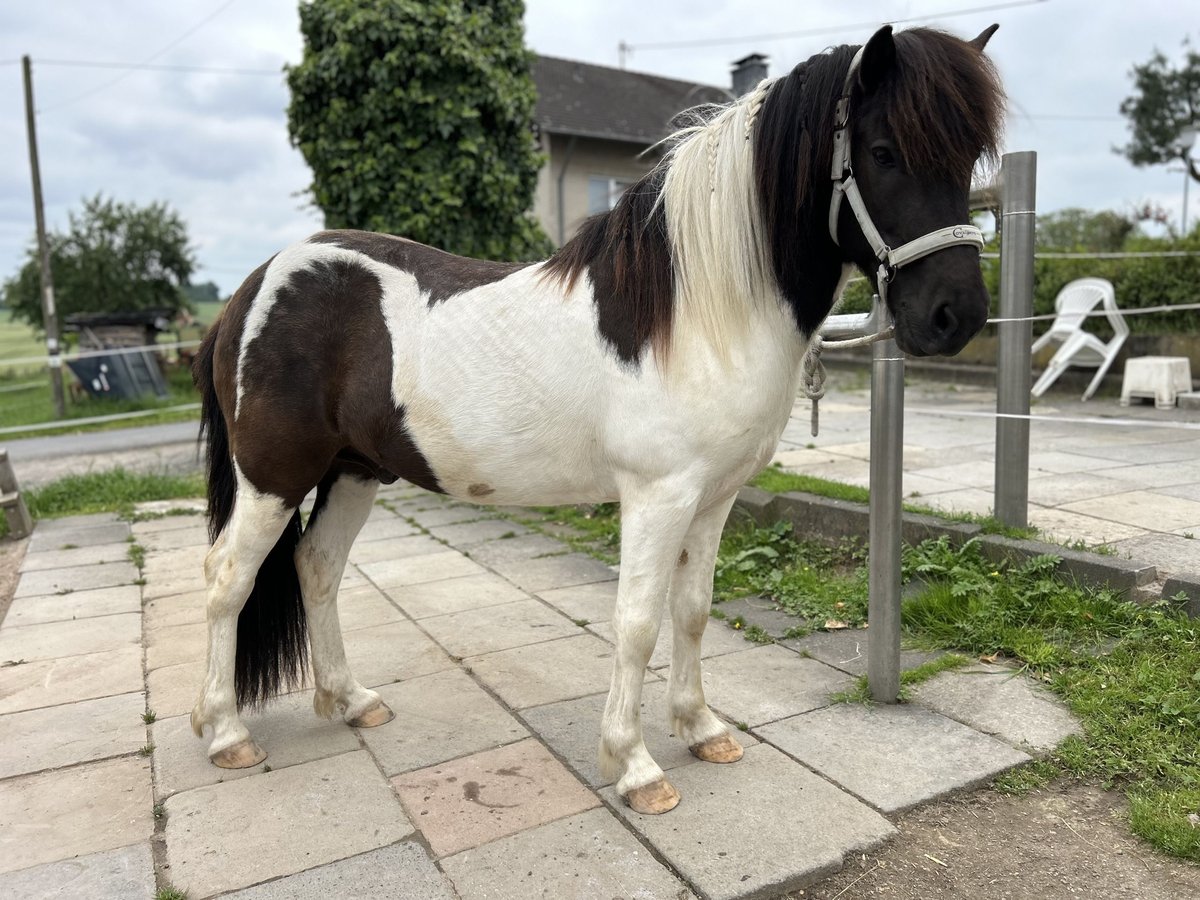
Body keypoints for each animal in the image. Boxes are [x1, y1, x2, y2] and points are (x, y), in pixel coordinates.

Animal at [192, 24, 1003, 816]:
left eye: (969, 157)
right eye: (883, 152)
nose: (955, 317)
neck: (695, 313)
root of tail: (251, 289)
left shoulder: (715, 498)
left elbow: (693, 610)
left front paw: (702, 728)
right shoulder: (658, 496)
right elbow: (637, 622)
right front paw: (636, 766)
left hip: (354, 472)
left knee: (317, 567)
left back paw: (351, 700)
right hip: (275, 476)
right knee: (229, 577)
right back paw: (225, 732)